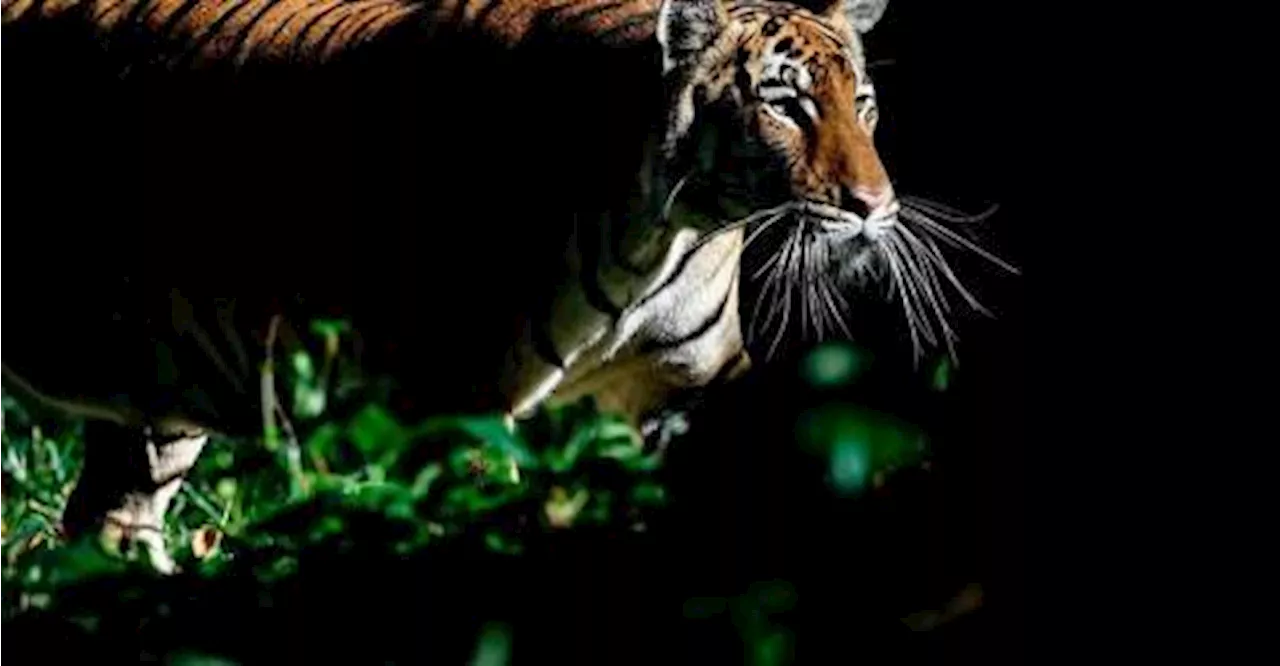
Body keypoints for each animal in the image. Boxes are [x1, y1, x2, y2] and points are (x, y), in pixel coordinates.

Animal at [0, 0, 1003, 571]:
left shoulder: (677, 389)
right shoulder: (459, 403)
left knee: (106, 528)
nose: (875, 207)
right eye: (786, 102)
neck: (671, 229)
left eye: (862, 105)